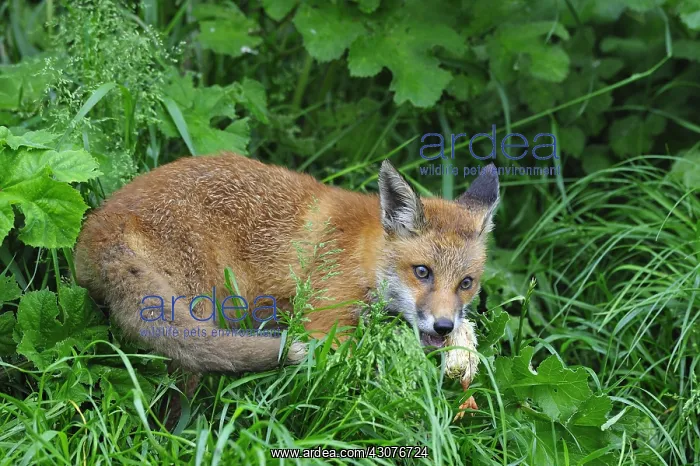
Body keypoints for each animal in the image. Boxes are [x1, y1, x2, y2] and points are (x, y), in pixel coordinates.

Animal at [74, 153, 499, 418]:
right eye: (422, 272)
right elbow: (352, 384)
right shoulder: (323, 328)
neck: (362, 256)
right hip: (198, 318)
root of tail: (103, 223)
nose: (444, 327)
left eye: (466, 283)